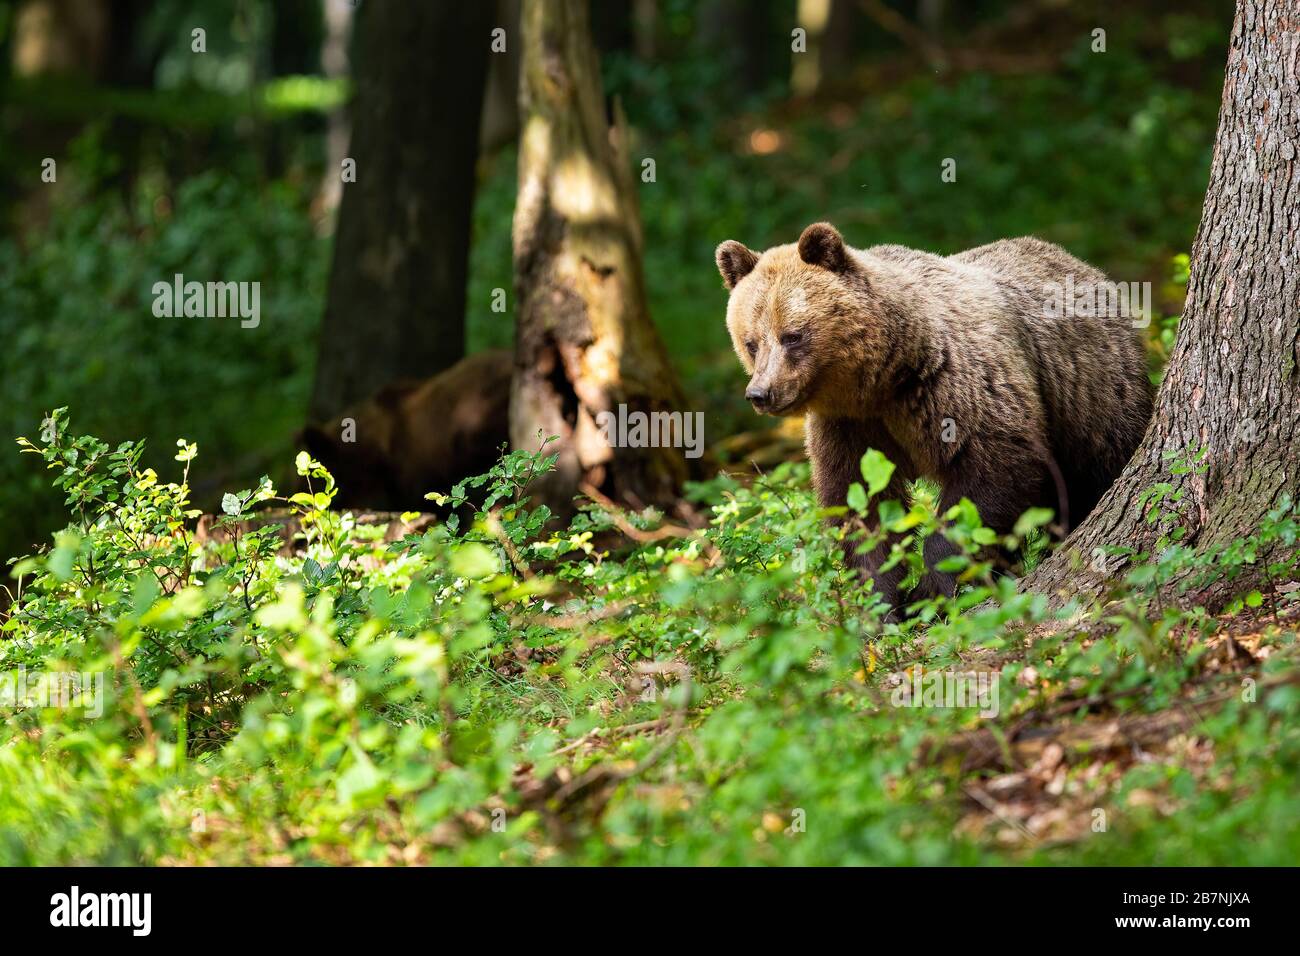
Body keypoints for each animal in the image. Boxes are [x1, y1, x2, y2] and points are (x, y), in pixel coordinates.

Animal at [717, 223, 1154, 608]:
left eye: (793, 335)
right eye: (751, 342)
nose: (761, 393)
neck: (884, 377)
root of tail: (1085, 268)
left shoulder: (957, 388)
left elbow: (988, 480)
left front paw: (932, 588)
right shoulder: (850, 427)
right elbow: (861, 508)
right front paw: (881, 604)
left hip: (1091, 396)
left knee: (1094, 474)